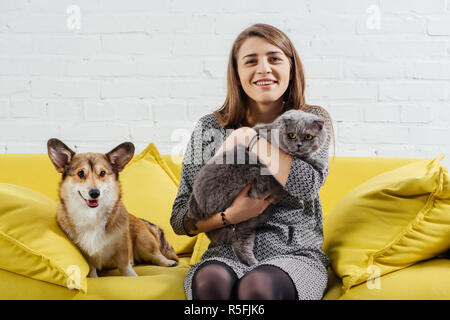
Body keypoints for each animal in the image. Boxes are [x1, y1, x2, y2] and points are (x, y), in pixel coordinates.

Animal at [186, 109, 326, 264]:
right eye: (292, 135)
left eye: (308, 136)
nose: (299, 145)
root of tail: (196, 204)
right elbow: (299, 157)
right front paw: (318, 162)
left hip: (246, 224)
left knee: (240, 241)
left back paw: (252, 263)